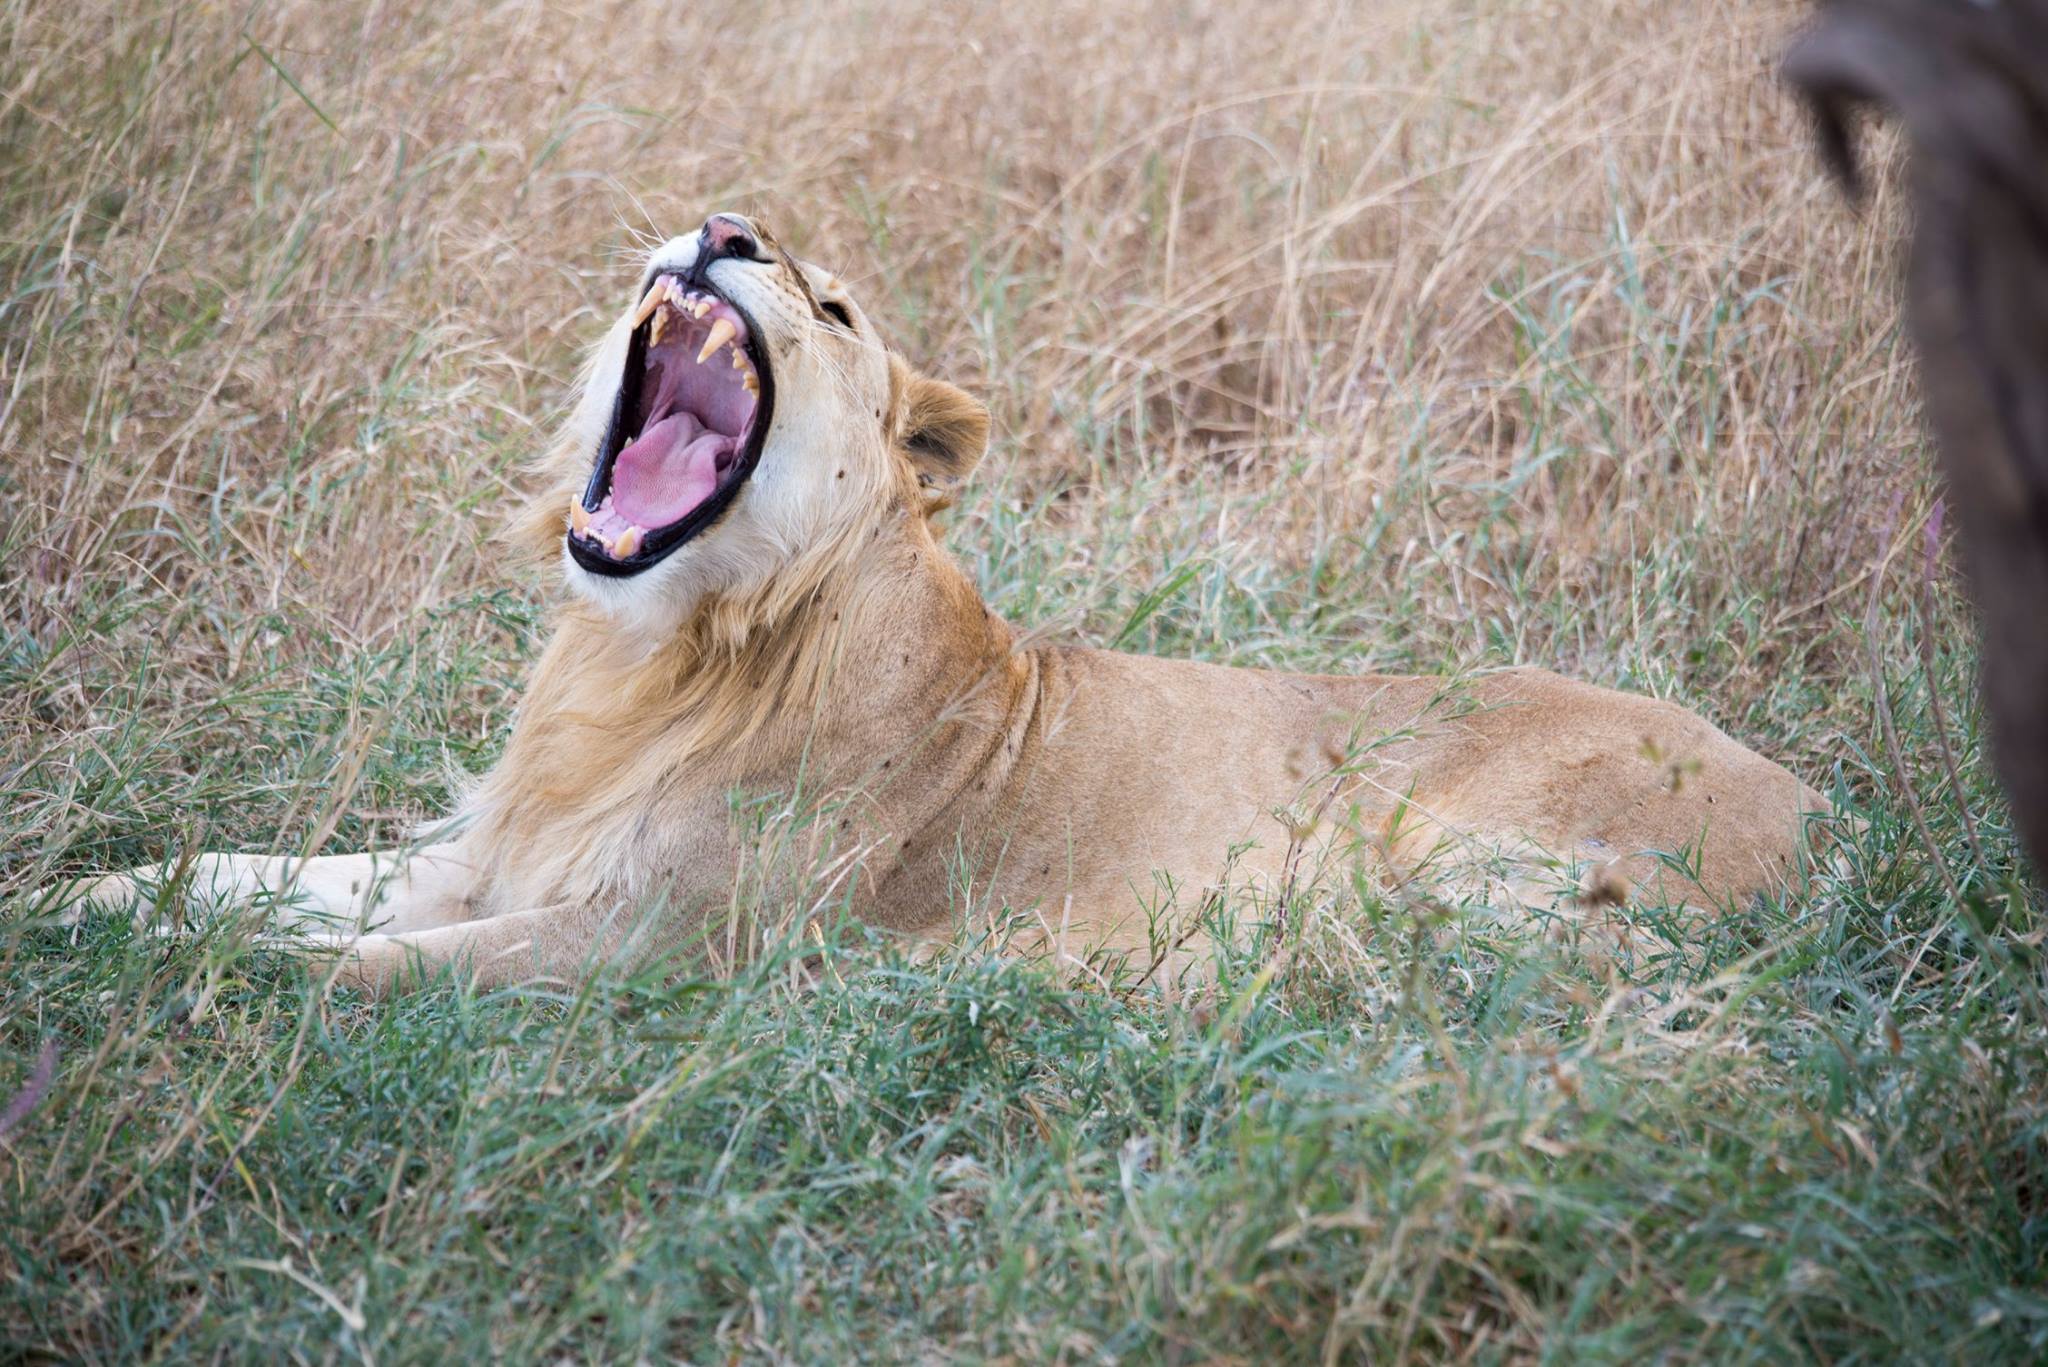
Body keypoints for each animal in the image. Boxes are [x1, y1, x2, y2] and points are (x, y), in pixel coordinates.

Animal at [56, 211, 1835, 996]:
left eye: (832, 305)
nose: (724, 222)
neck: (649, 654)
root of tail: (1819, 799)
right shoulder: (489, 852)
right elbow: (241, 874)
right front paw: (74, 903)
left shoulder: (659, 941)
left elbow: (352, 967)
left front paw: (174, 994)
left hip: (1439, 866)